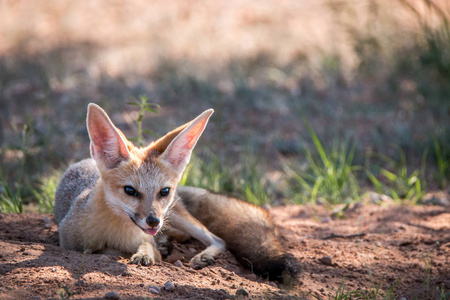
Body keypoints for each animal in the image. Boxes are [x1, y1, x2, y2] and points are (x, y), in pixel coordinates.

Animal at [53, 103, 298, 282]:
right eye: (130, 191)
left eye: (164, 191)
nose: (153, 221)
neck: (117, 232)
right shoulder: (68, 242)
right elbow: (100, 250)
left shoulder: (148, 233)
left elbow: (146, 247)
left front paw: (145, 254)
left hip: (178, 217)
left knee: (217, 239)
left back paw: (201, 255)